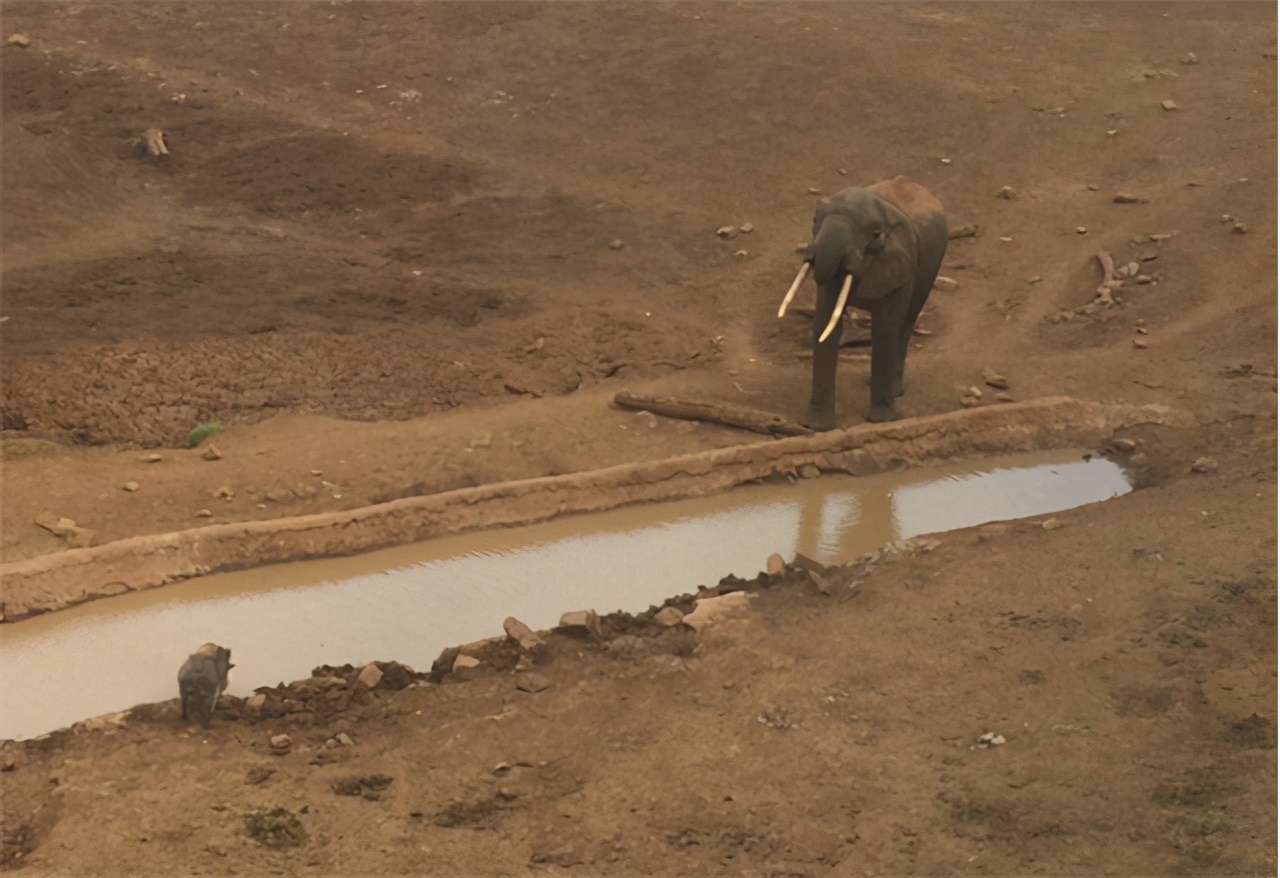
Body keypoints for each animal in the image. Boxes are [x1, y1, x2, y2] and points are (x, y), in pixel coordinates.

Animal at [773, 175, 947, 430]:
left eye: (875, 234)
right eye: (814, 220)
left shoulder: (900, 264)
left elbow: (885, 330)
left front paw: (881, 421)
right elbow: (825, 323)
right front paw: (818, 427)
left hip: (930, 266)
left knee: (906, 323)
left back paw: (896, 392)